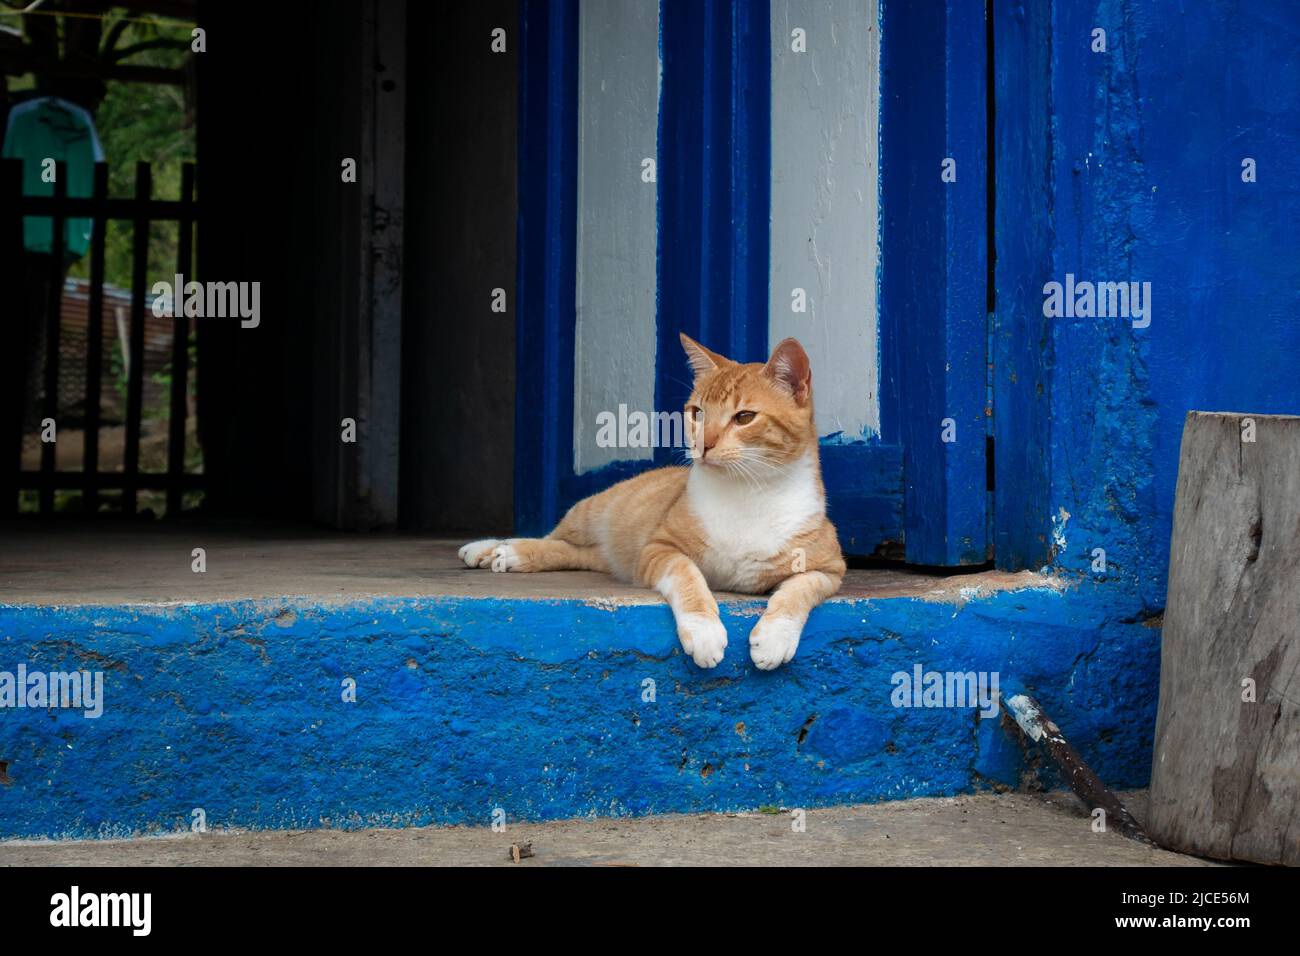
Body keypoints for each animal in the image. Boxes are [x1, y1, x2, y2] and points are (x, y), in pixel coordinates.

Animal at [457, 335, 842, 671]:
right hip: (592, 512)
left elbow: (797, 590)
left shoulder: (829, 569)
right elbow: (688, 577)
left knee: (573, 552)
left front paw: (775, 638)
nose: (702, 445)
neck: (746, 491)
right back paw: (496, 549)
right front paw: (704, 632)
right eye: (697, 412)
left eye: (745, 417)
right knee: (552, 538)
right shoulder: (658, 549)